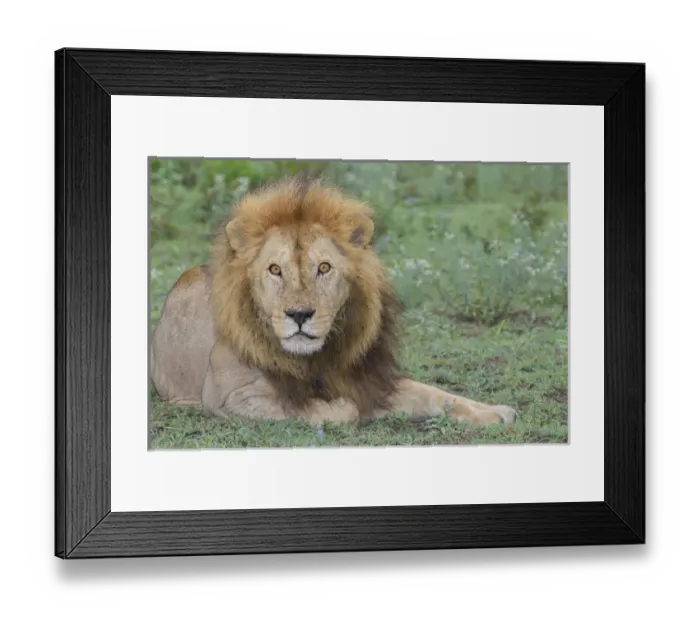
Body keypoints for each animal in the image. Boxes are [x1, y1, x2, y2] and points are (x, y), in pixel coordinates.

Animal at [150, 177, 517, 427]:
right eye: (275, 269)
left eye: (323, 268)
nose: (299, 315)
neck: (318, 358)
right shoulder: (231, 397)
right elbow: (337, 409)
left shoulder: (370, 379)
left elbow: (437, 394)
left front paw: (495, 412)